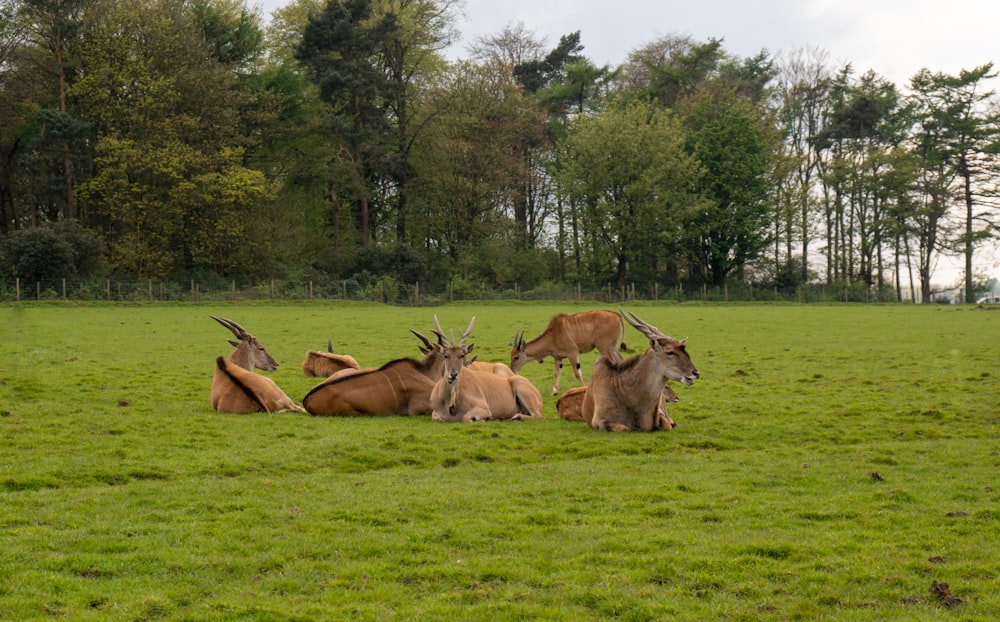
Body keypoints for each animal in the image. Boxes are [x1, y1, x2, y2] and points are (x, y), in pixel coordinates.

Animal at [300, 322, 476, 420]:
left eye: (462, 355)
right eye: (446, 356)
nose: (455, 374)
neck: (425, 372)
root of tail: (306, 400)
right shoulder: (419, 408)